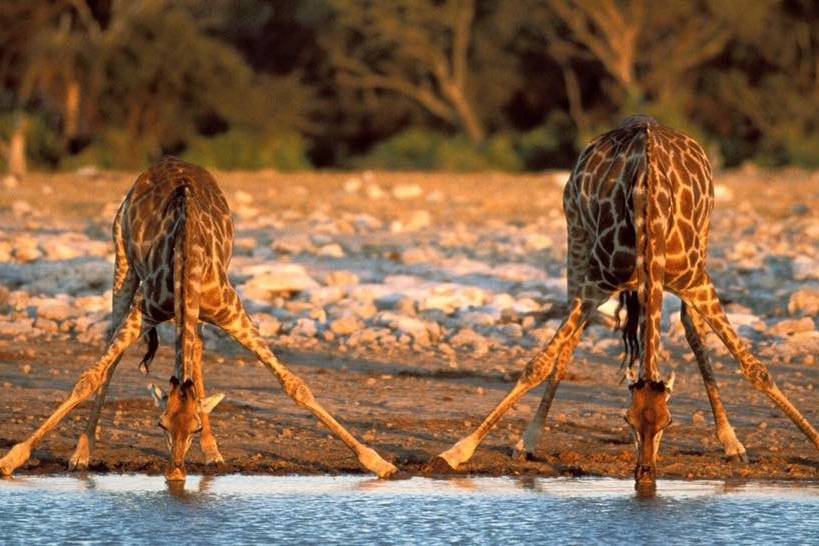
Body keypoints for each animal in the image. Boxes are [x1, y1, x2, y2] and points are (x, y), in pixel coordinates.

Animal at [0, 156, 397, 481]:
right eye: (159, 424)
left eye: (192, 427)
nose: (175, 473)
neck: (187, 259)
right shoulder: (145, 310)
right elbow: (90, 378)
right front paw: (14, 458)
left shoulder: (233, 311)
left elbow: (295, 385)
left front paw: (378, 462)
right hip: (122, 260)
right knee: (112, 348)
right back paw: (83, 453)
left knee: (198, 351)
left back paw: (213, 453)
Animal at [432, 115, 819, 486]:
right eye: (627, 419)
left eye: (667, 423)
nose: (645, 472)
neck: (652, 218)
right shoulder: (595, 283)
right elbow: (537, 365)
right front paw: (458, 450)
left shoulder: (696, 281)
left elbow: (756, 369)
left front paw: (809, 440)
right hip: (576, 236)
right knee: (570, 338)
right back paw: (528, 441)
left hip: (704, 240)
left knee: (692, 329)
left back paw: (731, 443)